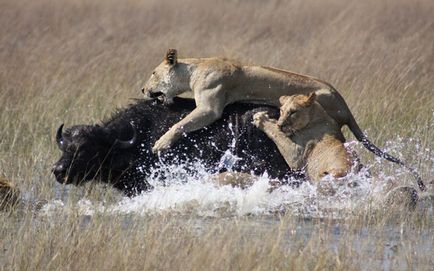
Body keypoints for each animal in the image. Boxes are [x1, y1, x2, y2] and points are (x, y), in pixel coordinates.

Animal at [142, 50, 424, 192]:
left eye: (153, 73)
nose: (143, 89)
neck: (195, 69)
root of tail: (342, 102)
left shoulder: (210, 107)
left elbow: (181, 124)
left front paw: (161, 143)